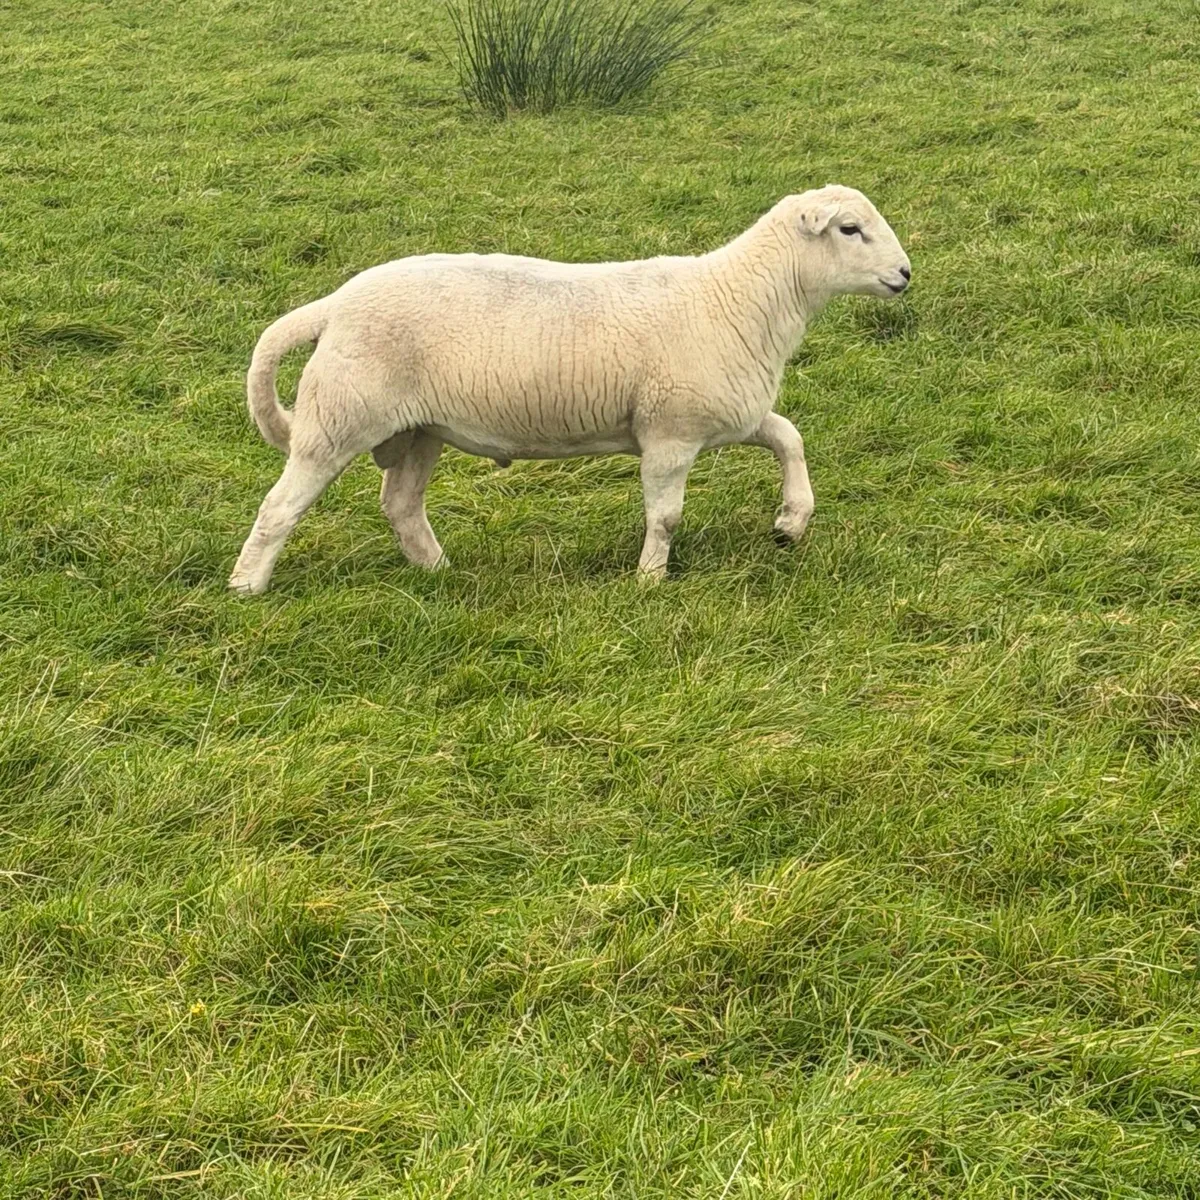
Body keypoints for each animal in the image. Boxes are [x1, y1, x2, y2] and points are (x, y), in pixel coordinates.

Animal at [229, 184, 910, 593]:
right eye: (850, 230)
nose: (905, 274)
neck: (741, 297)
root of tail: (333, 304)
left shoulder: (724, 414)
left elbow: (790, 438)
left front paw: (791, 523)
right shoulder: (670, 432)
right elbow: (666, 515)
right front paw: (650, 580)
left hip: (418, 429)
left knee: (400, 506)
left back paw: (441, 571)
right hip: (339, 418)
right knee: (278, 508)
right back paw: (246, 587)